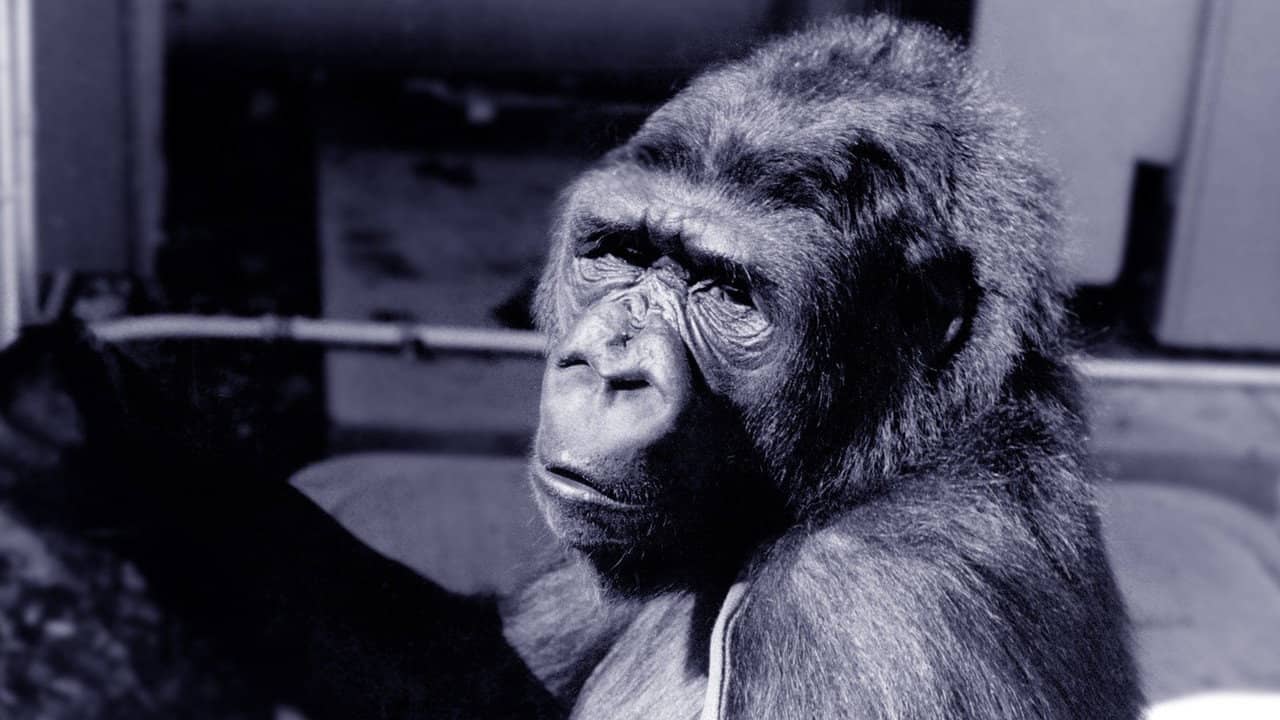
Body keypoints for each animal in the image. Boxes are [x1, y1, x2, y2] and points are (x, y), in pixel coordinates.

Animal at [0, 15, 1142, 720]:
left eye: (727, 293)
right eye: (621, 253)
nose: (608, 366)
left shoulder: (871, 619)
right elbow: (464, 671)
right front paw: (106, 444)